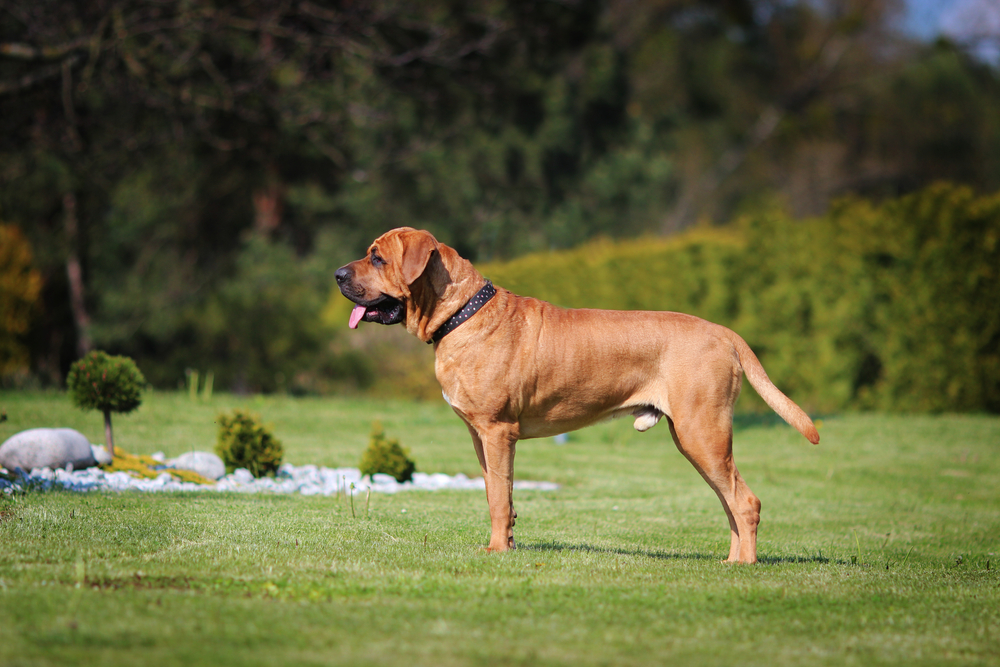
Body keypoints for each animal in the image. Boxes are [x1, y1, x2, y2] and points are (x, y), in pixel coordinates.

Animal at [336, 227, 820, 560]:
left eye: (377, 258)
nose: (337, 274)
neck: (462, 314)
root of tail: (724, 332)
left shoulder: (497, 431)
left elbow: (497, 498)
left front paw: (497, 552)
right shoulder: (480, 437)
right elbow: (499, 491)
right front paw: (505, 543)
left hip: (703, 432)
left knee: (745, 501)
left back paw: (745, 566)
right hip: (698, 440)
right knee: (730, 502)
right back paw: (731, 560)